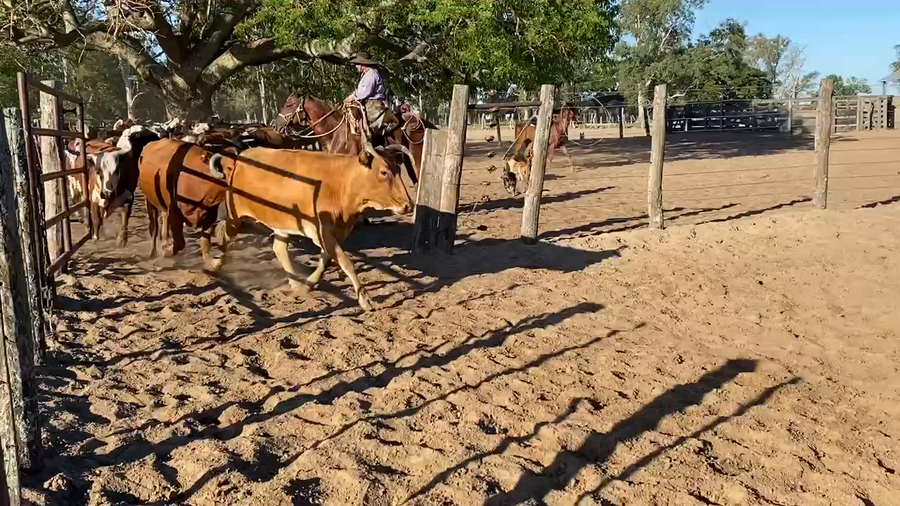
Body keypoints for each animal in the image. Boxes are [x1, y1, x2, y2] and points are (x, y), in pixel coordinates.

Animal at [207, 143, 412, 311]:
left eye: (398, 169)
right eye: (384, 172)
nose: (408, 205)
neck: (341, 184)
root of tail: (239, 158)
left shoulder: (336, 233)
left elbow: (325, 261)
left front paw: (307, 285)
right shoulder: (321, 231)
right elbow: (346, 262)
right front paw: (365, 299)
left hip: (281, 225)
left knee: (279, 249)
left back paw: (294, 282)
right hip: (236, 216)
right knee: (225, 234)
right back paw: (214, 265)